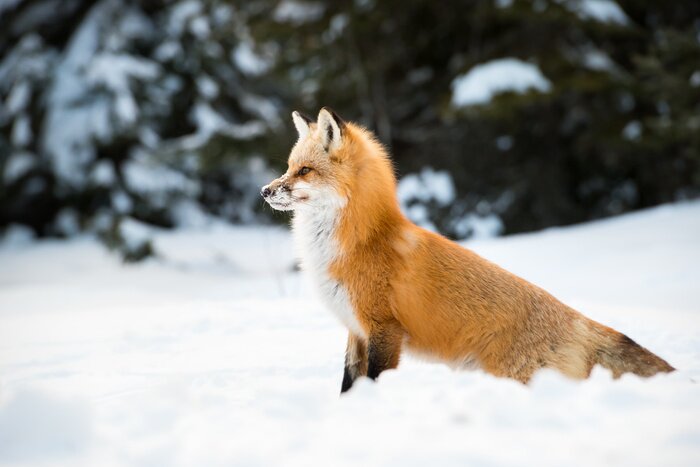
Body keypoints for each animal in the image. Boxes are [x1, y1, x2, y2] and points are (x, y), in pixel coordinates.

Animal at [261, 107, 675, 393]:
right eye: (289, 167)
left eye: (305, 171)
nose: (265, 190)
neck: (360, 242)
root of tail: (576, 319)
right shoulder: (355, 329)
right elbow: (349, 384)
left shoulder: (384, 330)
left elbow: (374, 382)